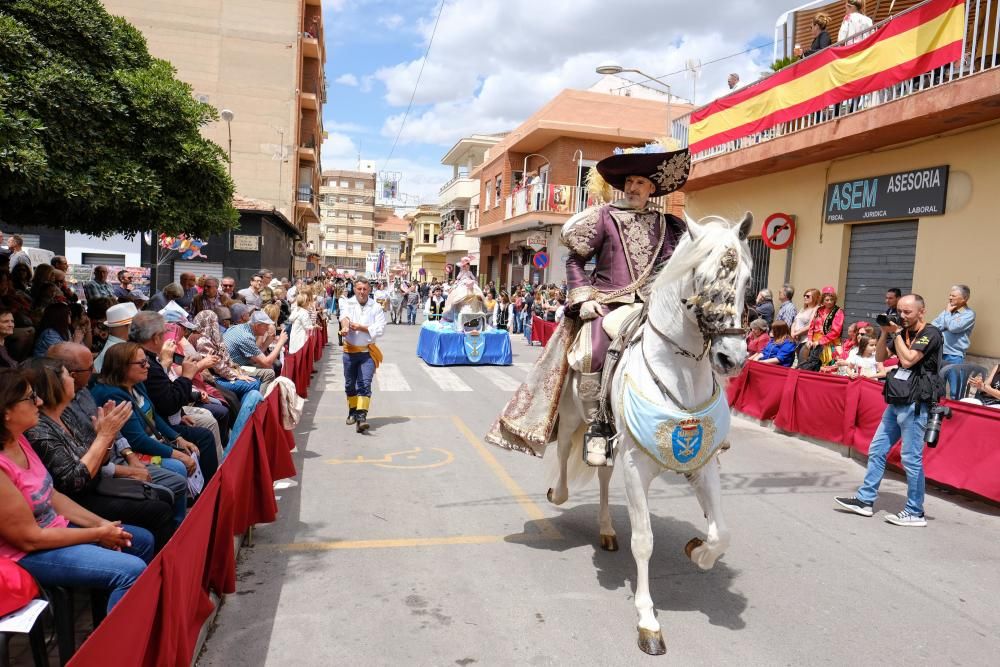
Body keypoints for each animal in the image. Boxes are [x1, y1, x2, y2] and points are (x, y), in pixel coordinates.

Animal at [548, 213, 752, 656]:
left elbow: (722, 531)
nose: (731, 358)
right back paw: (558, 493)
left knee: (602, 476)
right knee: (564, 456)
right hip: (572, 418)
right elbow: (644, 541)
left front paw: (700, 553)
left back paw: (607, 529)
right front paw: (647, 622)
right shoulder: (635, 465)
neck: (682, 374)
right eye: (701, 278)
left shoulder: (703, 463)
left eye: (747, 279)